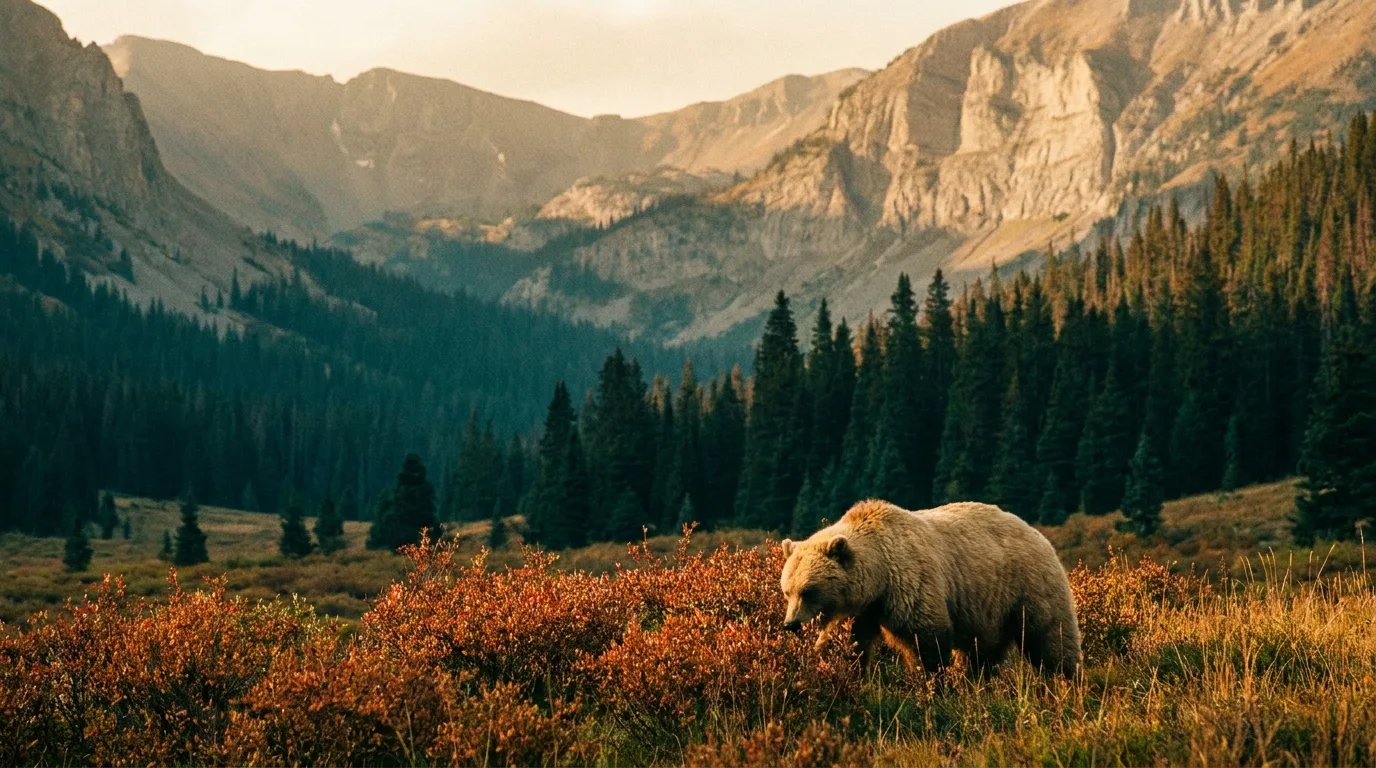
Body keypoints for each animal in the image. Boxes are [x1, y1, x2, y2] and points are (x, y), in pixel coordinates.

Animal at [779, 499, 1081, 677]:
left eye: (809, 590)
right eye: (787, 590)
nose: (791, 624)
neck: (879, 579)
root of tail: (1037, 533)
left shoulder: (910, 583)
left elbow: (925, 640)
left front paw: (930, 682)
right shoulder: (858, 610)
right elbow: (846, 644)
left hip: (1028, 587)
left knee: (1050, 636)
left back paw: (1064, 679)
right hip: (988, 612)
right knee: (980, 654)